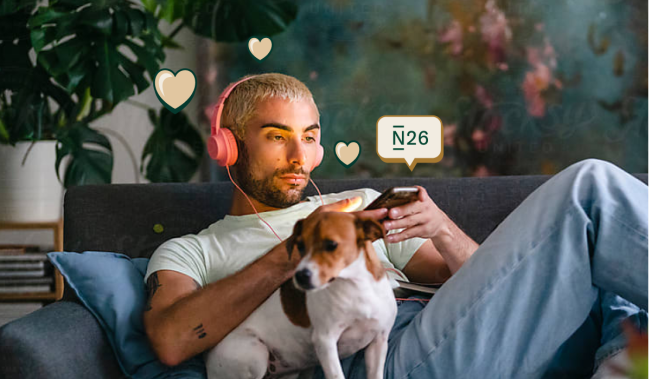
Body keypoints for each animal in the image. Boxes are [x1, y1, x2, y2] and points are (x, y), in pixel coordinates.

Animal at [204, 212, 394, 379]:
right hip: (256, 354)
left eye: (331, 244)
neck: (357, 287)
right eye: (300, 246)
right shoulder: (325, 341)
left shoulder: (379, 342)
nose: (300, 276)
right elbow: (336, 375)